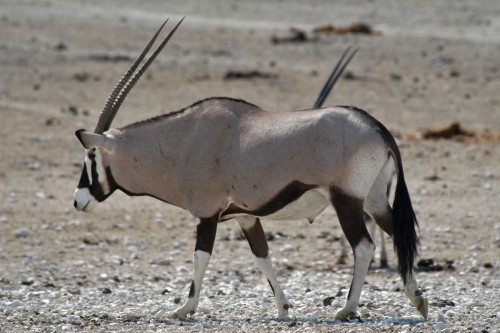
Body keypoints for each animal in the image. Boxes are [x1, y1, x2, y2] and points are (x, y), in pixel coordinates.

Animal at [72, 18, 428, 320]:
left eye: (91, 156)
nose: (78, 200)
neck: (184, 140)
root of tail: (377, 128)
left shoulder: (208, 212)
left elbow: (200, 257)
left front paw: (183, 309)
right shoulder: (245, 216)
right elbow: (263, 257)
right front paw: (283, 308)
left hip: (347, 200)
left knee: (364, 246)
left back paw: (347, 308)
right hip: (374, 200)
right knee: (400, 234)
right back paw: (418, 301)